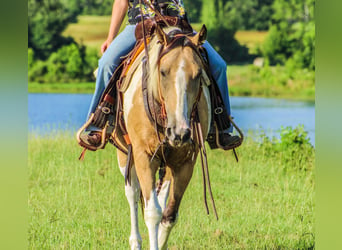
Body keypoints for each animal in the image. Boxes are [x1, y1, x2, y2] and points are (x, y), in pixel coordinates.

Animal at [112, 23, 211, 250]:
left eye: (199, 74)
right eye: (163, 72)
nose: (180, 133)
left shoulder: (185, 162)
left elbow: (169, 215)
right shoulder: (143, 156)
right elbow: (152, 212)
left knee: (160, 196)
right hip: (125, 153)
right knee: (132, 193)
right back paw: (135, 242)